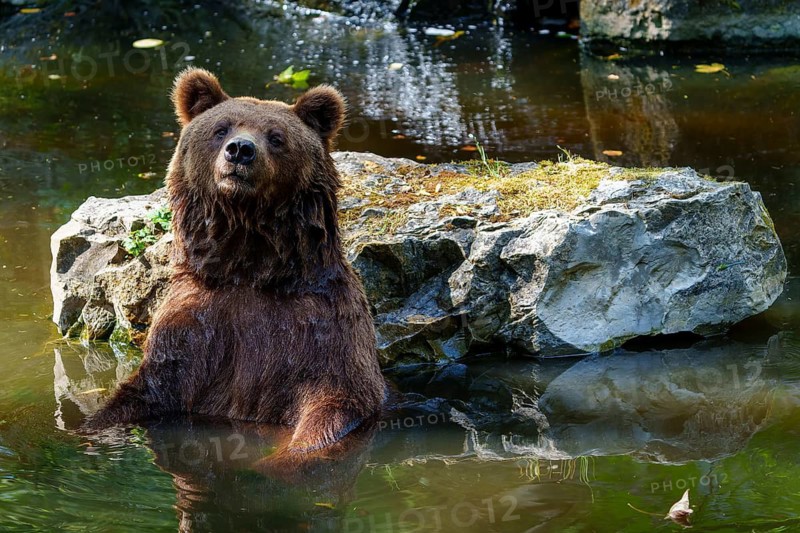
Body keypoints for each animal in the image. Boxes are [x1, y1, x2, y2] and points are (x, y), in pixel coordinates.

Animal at [86, 68, 386, 453]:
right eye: (221, 129)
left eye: (276, 137)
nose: (241, 150)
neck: (248, 266)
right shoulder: (194, 324)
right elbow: (141, 392)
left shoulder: (321, 330)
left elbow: (334, 406)